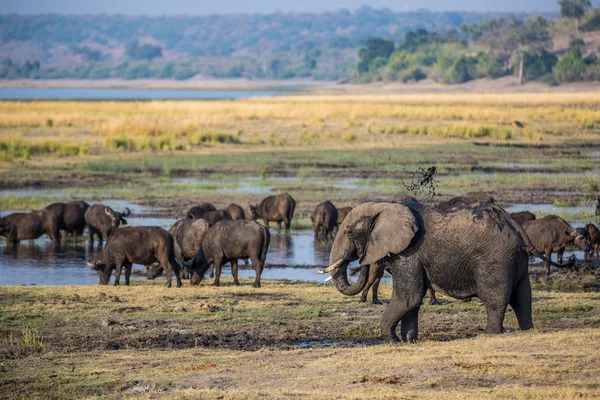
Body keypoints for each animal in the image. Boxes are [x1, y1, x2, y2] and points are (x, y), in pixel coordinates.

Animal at [318, 202, 552, 342]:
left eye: (349, 231)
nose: (363, 256)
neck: (385, 207)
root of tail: (514, 224)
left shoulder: (408, 254)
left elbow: (408, 298)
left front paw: (392, 340)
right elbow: (413, 302)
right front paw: (409, 341)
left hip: (495, 260)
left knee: (496, 301)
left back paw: (489, 334)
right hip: (517, 259)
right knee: (522, 298)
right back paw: (527, 330)